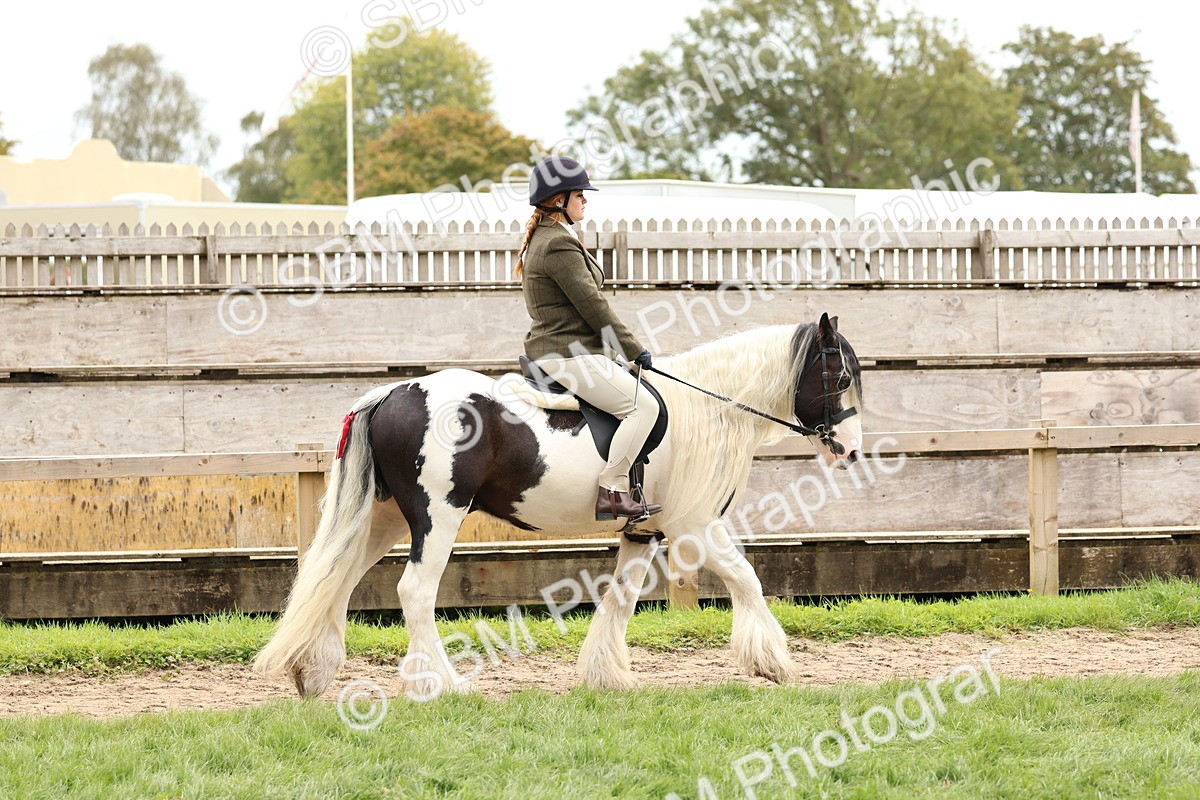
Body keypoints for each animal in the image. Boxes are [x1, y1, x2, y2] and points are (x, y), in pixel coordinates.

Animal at [254, 313, 864, 699]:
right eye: (838, 376)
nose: (852, 451)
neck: (706, 409)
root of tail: (392, 393)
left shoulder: (643, 532)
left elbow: (620, 599)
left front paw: (606, 677)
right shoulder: (694, 526)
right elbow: (746, 579)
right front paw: (773, 662)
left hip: (381, 520)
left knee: (336, 577)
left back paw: (313, 671)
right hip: (438, 516)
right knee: (414, 592)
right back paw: (444, 684)